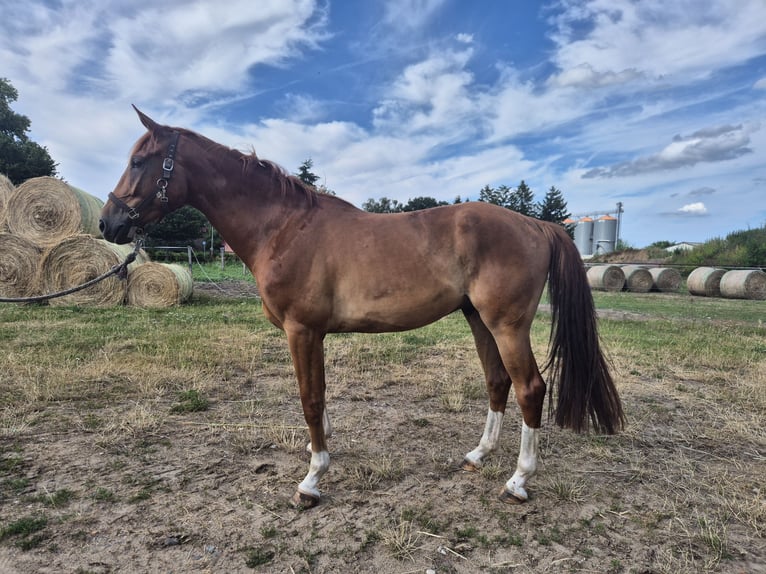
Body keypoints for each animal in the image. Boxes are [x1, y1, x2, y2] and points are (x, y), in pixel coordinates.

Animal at [99, 107, 624, 508]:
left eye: (140, 160)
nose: (108, 222)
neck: (283, 227)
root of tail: (536, 225)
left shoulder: (302, 330)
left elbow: (310, 399)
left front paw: (312, 479)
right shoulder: (313, 335)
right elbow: (319, 398)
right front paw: (322, 451)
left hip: (507, 325)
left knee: (530, 388)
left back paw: (518, 481)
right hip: (479, 321)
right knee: (499, 382)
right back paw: (478, 456)